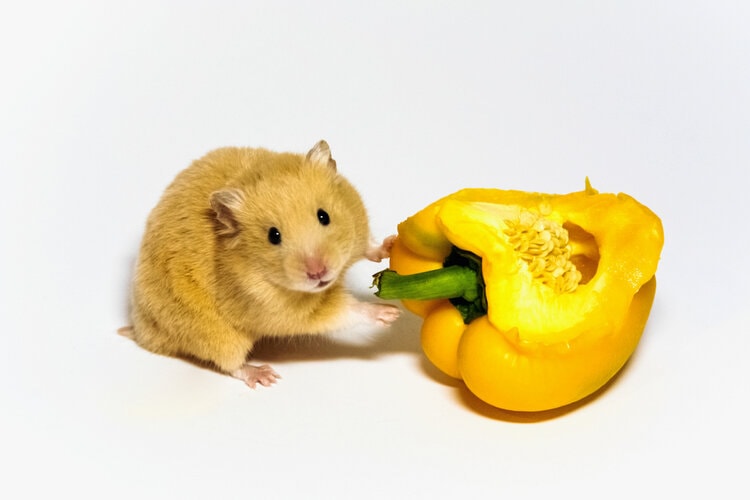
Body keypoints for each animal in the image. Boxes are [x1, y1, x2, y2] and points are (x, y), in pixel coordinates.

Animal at [122, 140, 400, 388]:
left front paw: (391, 244)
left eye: (324, 216)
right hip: (216, 335)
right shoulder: (286, 313)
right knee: (231, 364)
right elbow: (346, 311)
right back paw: (264, 375)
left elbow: (368, 245)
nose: (318, 273)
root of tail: (142, 330)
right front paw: (389, 313)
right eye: (273, 236)